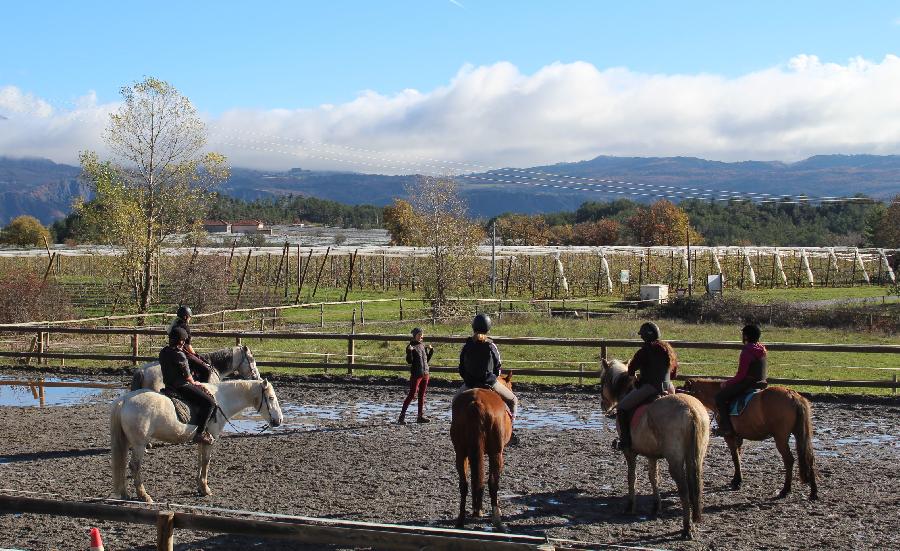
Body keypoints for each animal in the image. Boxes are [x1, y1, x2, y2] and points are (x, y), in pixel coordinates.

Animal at [111, 380, 284, 504]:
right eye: (271, 398)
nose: (279, 420)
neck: (220, 399)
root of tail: (124, 400)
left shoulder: (203, 439)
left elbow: (200, 461)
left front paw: (200, 487)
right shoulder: (211, 438)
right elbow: (206, 461)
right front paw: (206, 489)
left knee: (123, 464)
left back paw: (125, 493)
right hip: (139, 444)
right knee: (134, 466)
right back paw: (144, 496)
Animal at [450, 370, 512, 532]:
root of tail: (476, 403)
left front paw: (477, 509)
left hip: (461, 453)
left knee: (464, 484)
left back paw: (461, 520)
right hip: (496, 454)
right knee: (493, 483)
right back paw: (497, 520)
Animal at [596, 360, 712, 540]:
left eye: (603, 381)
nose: (603, 405)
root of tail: (690, 410)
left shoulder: (629, 452)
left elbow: (632, 477)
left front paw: (630, 506)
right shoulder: (652, 455)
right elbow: (653, 478)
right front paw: (656, 506)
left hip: (675, 461)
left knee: (684, 490)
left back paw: (687, 528)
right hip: (697, 457)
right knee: (695, 484)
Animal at [680, 380, 820, 500]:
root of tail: (792, 395)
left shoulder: (730, 437)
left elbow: (735, 457)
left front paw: (737, 481)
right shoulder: (738, 437)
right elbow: (738, 457)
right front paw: (737, 479)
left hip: (781, 438)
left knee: (789, 460)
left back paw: (785, 490)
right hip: (801, 434)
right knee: (809, 457)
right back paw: (813, 492)